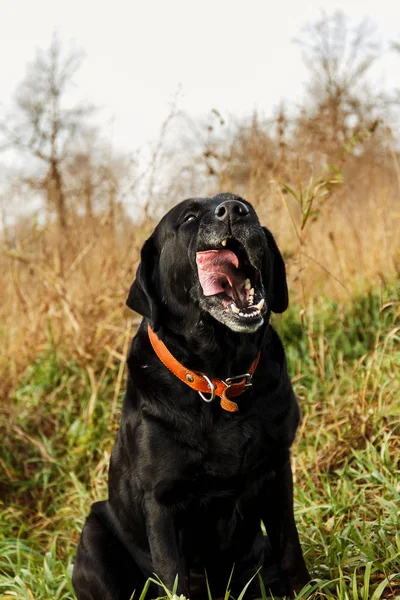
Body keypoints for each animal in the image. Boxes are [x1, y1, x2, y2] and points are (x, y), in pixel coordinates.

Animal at [73, 195, 310, 596]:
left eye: (245, 203)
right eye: (187, 218)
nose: (234, 210)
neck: (219, 378)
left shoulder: (277, 468)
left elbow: (290, 547)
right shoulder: (161, 502)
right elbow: (174, 576)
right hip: (93, 534)